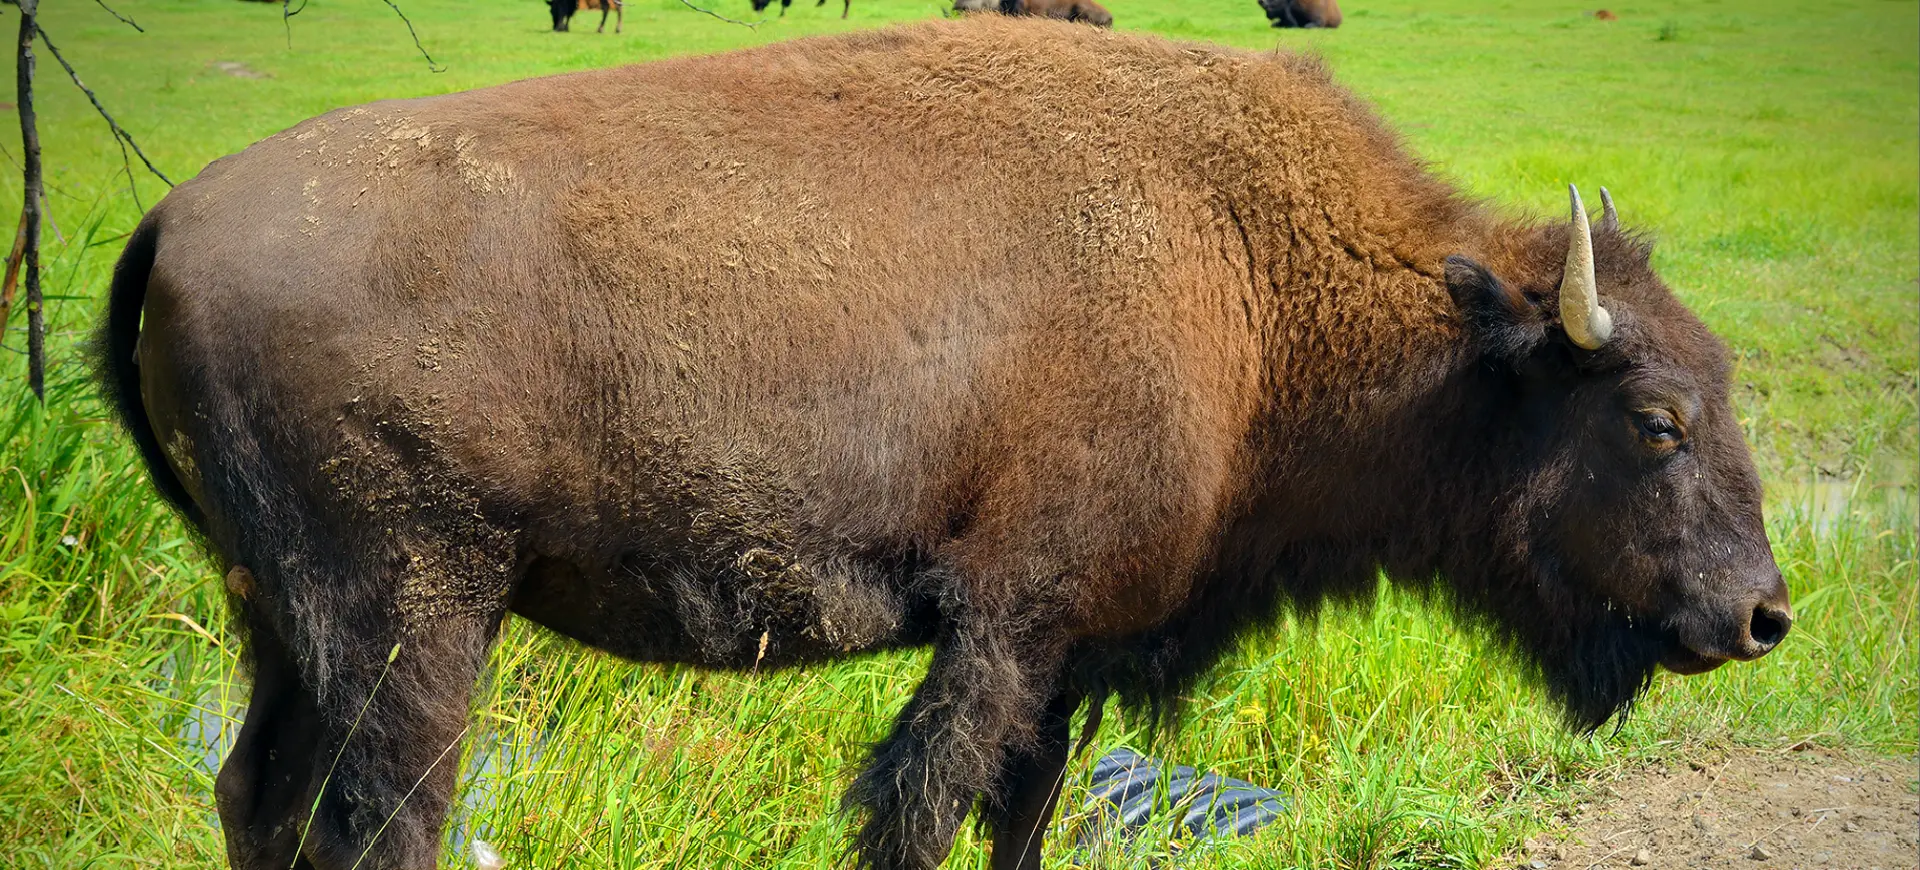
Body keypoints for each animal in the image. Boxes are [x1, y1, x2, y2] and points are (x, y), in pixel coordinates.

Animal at [101, 16, 1781, 868]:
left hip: (285, 620)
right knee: (385, 820)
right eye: (1655, 418)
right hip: (419, 615)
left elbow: (1019, 818)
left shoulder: (1073, 648)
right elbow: (922, 809)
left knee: (259, 796)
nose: (1762, 612)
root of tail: (173, 215)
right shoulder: (1007, 621)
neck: (1243, 268)